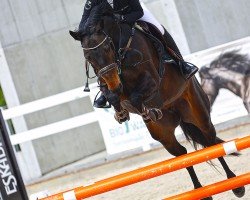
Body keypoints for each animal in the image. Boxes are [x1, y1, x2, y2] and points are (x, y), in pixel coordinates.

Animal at [69, 2, 245, 198]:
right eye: (88, 57)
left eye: (107, 47)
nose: (115, 83)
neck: (121, 49)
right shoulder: (109, 83)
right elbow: (113, 96)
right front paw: (122, 113)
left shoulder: (152, 81)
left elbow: (136, 96)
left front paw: (147, 110)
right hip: (163, 134)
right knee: (182, 155)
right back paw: (200, 191)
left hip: (199, 115)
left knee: (210, 142)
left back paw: (236, 185)